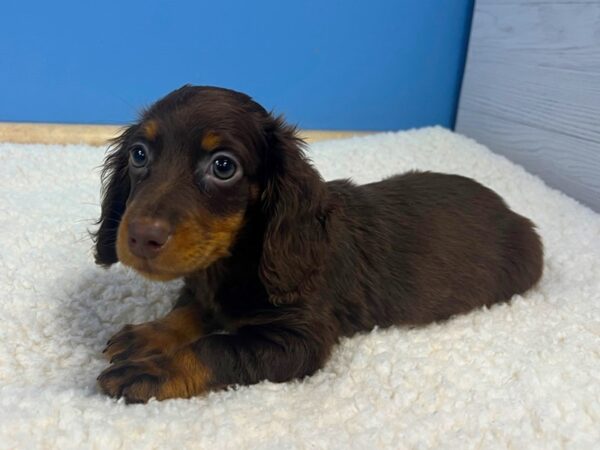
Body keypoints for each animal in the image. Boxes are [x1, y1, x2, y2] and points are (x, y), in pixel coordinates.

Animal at [94, 86, 544, 402]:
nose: (140, 236)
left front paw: (153, 370)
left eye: (223, 166)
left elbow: (215, 347)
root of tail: (511, 211)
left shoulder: (299, 340)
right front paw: (149, 336)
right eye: (138, 154)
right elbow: (188, 314)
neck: (239, 258)